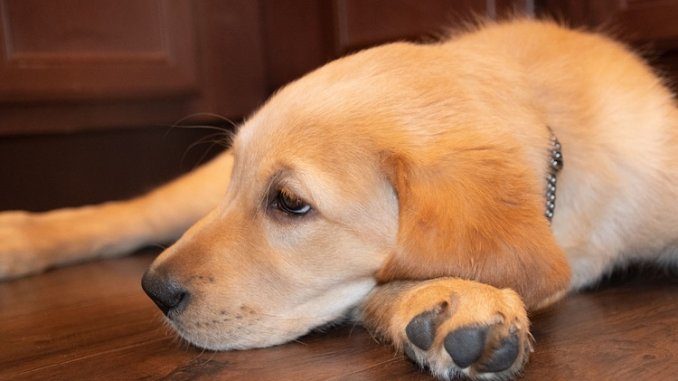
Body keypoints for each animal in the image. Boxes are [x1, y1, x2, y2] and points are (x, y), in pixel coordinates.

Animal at [1, 19, 678, 378]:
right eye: (262, 191)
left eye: (289, 202)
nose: (155, 292)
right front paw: (448, 301)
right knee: (126, 216)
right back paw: (17, 239)